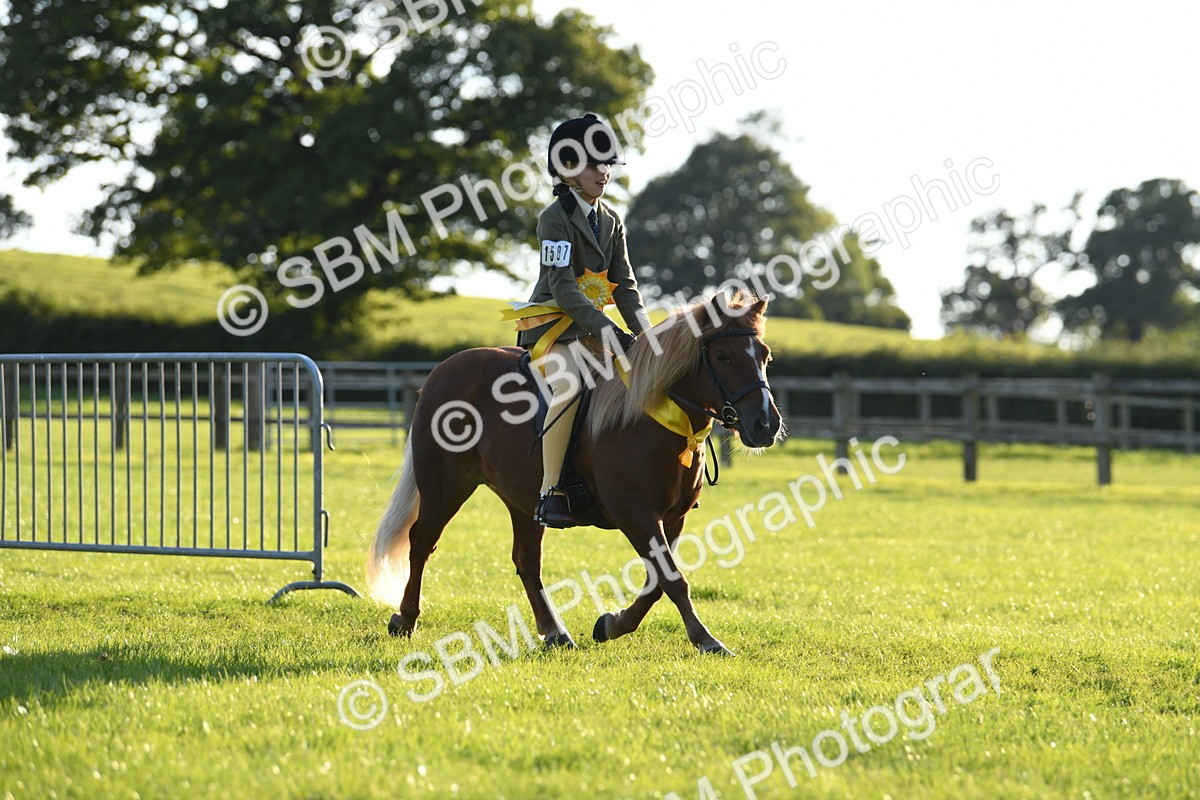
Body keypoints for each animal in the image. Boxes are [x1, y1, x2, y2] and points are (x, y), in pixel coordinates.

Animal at [366, 291, 783, 654]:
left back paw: (555, 632)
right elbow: (671, 579)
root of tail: (442, 371)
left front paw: (612, 624)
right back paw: (405, 619)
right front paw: (706, 639)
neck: (654, 416)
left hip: (524, 500)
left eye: (765, 356)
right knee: (422, 542)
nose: (765, 424)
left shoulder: (672, 518)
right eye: (723, 357)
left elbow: (657, 582)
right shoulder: (635, 513)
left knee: (526, 561)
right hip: (445, 486)